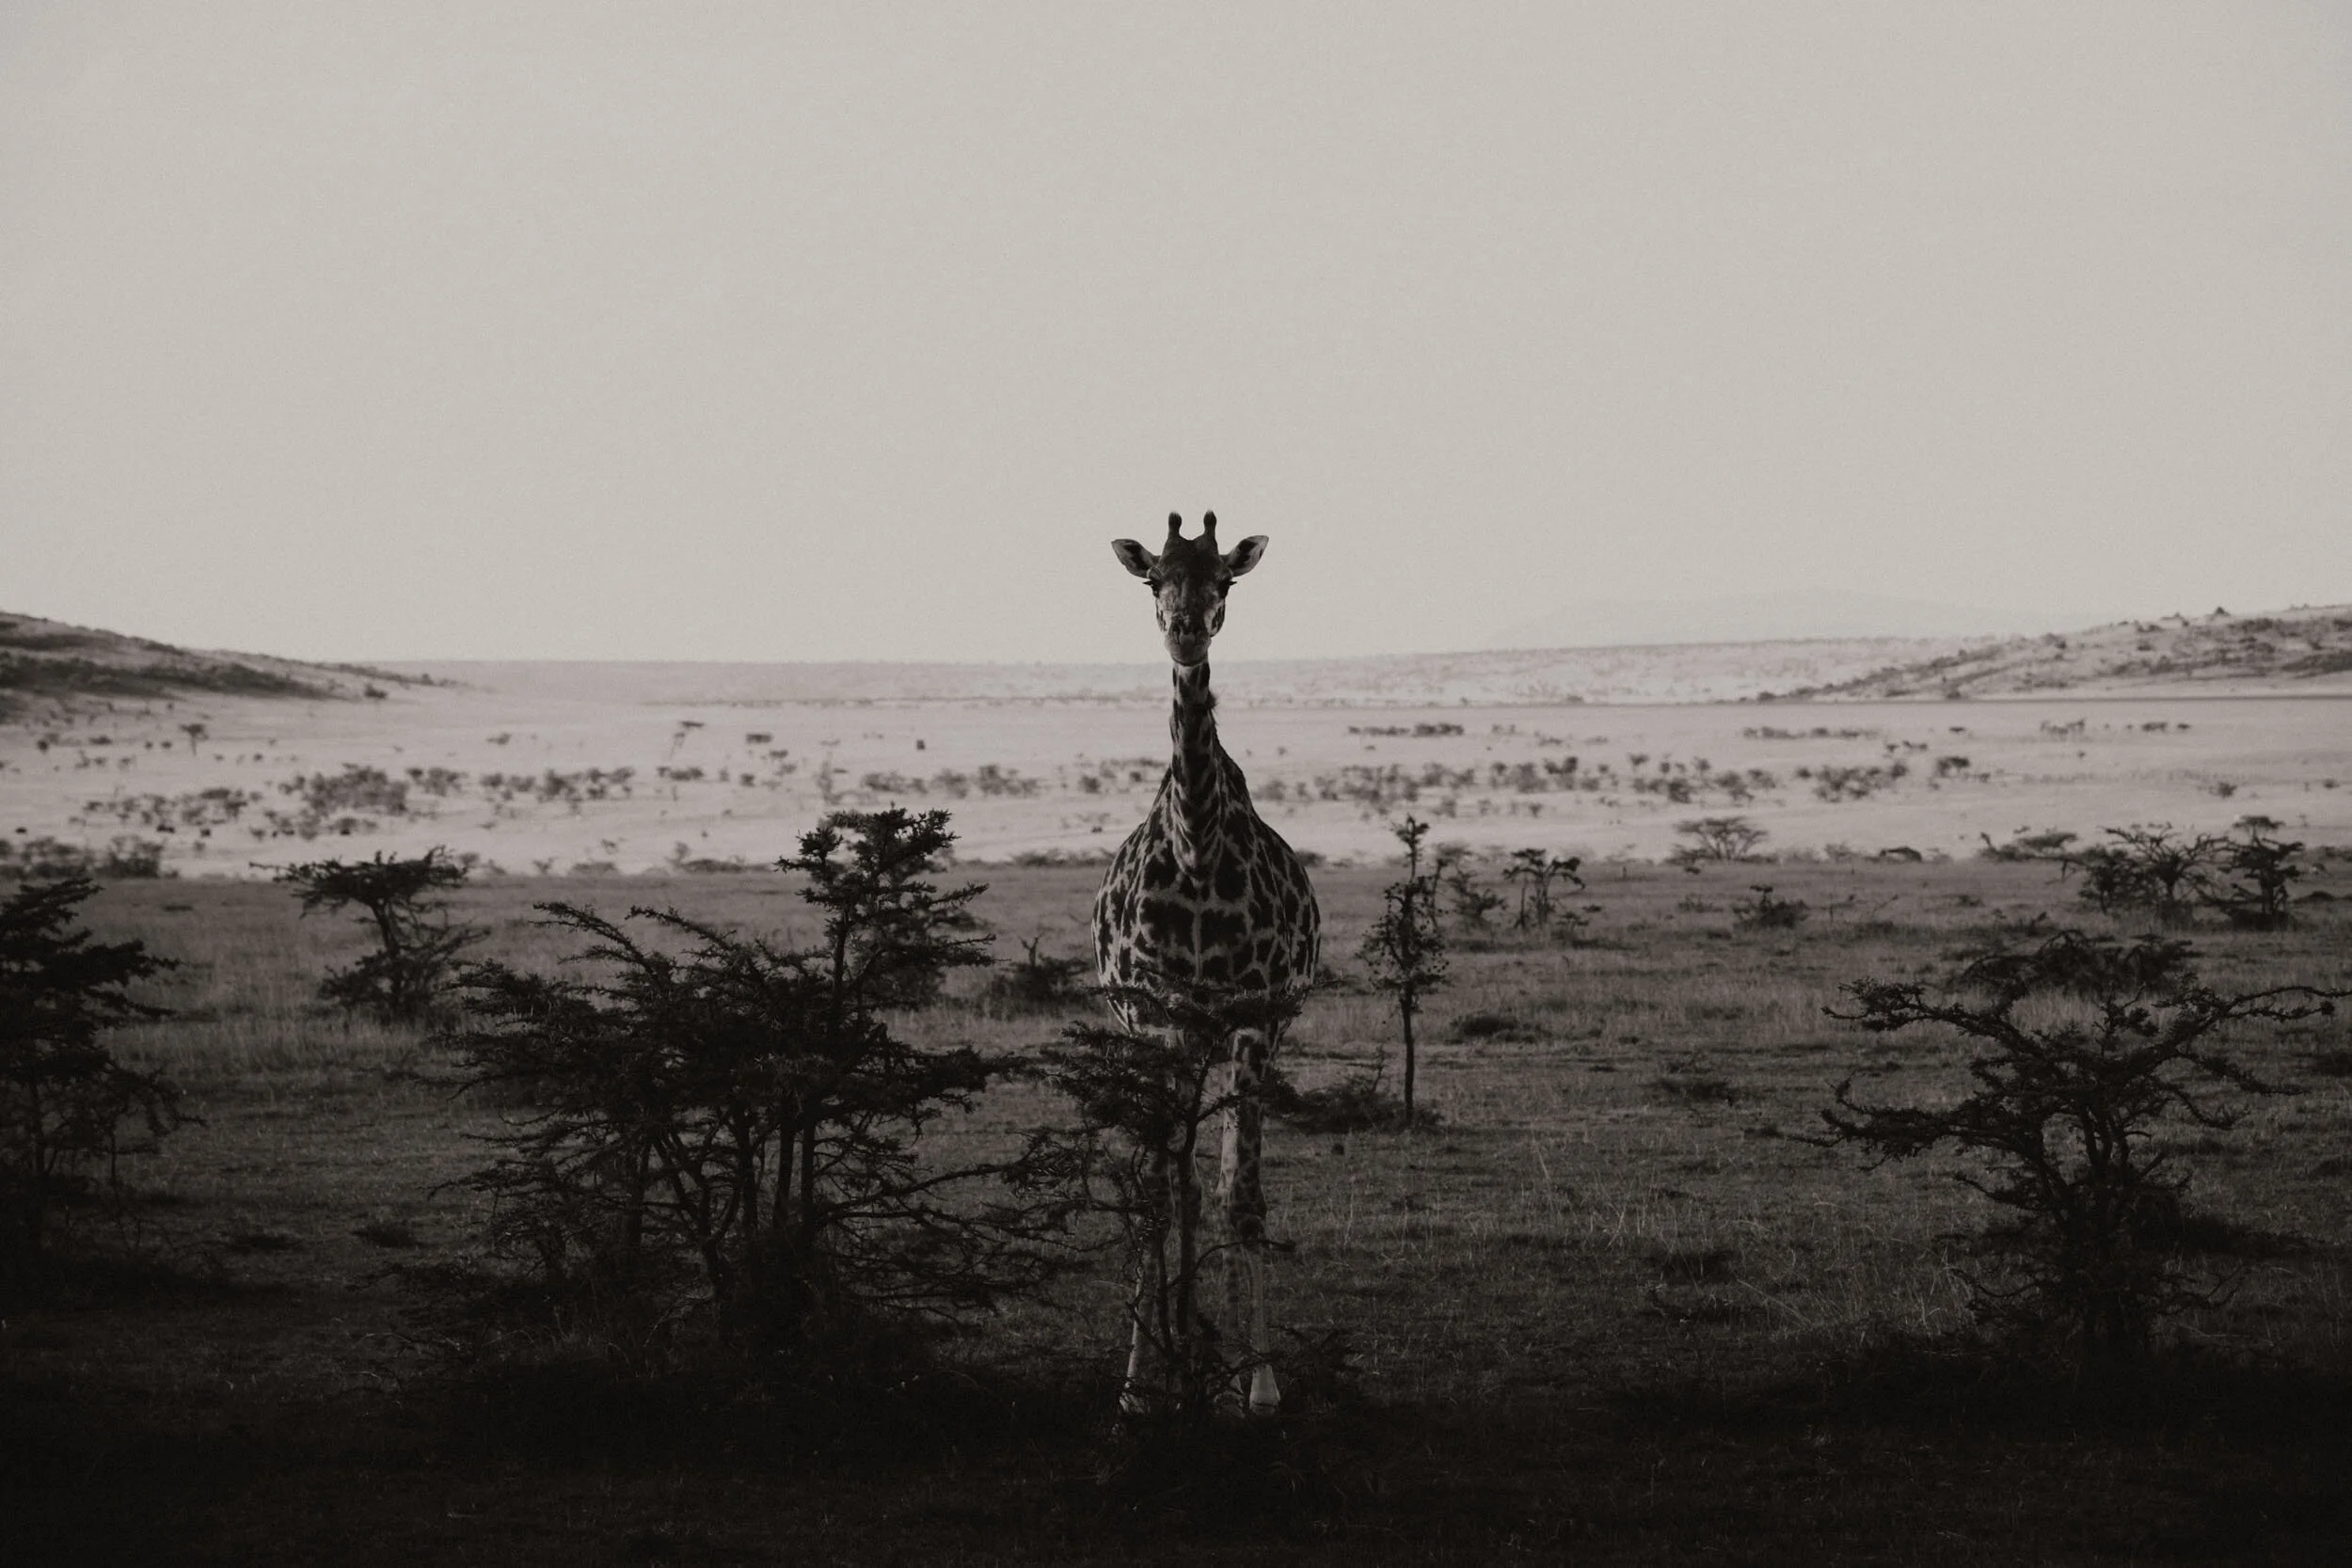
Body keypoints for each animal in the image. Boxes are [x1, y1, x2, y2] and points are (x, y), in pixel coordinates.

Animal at [1093, 510, 1322, 1416]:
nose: (1186, 631)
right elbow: (1161, 1193)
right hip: (1150, 1040)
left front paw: (1258, 1383)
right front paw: (1137, 1386)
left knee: (1209, 1179)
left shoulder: (1252, 1022)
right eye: (1154, 578)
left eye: (1223, 578)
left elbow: (1241, 1198)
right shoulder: (1160, 1023)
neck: (1196, 848)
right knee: (1168, 1179)